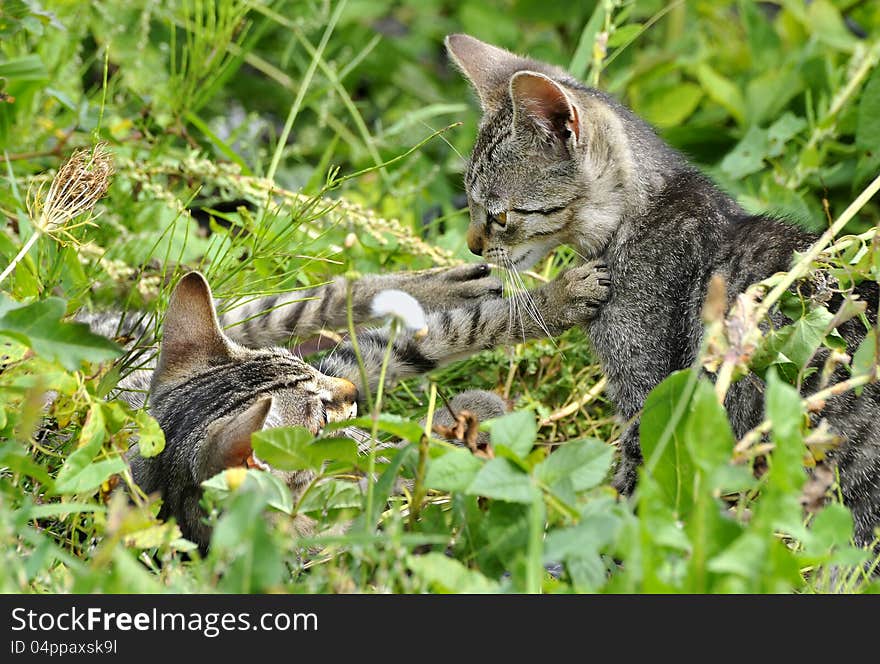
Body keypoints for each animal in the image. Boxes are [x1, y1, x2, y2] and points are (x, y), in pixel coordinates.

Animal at [446, 33, 880, 548]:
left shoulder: (650, 393)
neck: (632, 221)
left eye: (499, 215)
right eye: (468, 201)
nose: (472, 246)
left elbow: (640, 490)